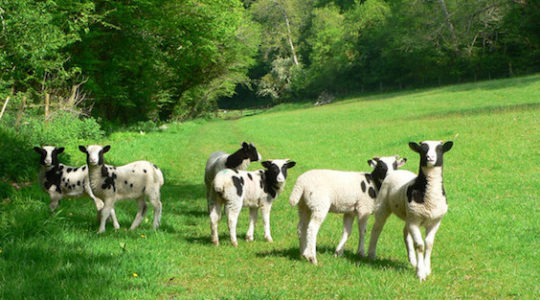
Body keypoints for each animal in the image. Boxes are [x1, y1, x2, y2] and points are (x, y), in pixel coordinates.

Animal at [368, 141, 456, 282]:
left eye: (440, 149)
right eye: (422, 149)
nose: (430, 158)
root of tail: (392, 174)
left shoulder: (434, 222)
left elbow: (429, 244)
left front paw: (427, 269)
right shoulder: (414, 221)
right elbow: (420, 245)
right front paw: (421, 273)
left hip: (409, 215)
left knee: (406, 233)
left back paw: (413, 261)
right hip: (383, 207)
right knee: (376, 229)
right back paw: (371, 255)